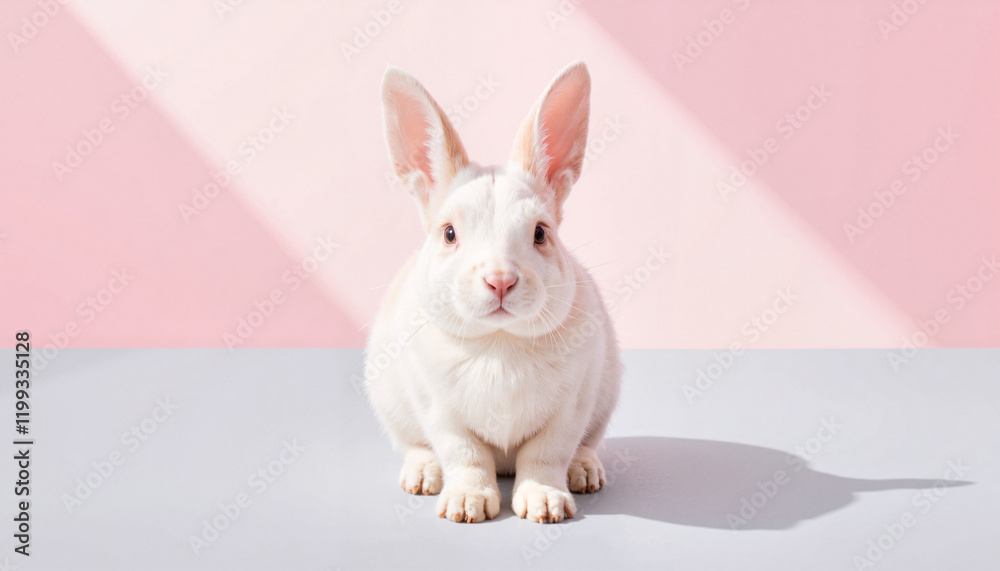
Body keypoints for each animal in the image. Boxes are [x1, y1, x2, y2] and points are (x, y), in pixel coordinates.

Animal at [365, 61, 623, 524]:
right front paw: (466, 504)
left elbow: (545, 456)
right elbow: (465, 455)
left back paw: (585, 472)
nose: (500, 280)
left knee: (583, 447)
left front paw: (545, 503)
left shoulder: (571, 408)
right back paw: (422, 475)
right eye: (449, 233)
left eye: (540, 233)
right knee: (415, 445)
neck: (498, 343)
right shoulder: (439, 411)